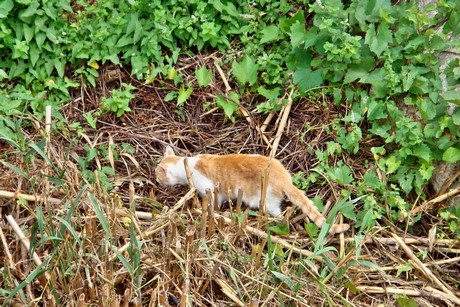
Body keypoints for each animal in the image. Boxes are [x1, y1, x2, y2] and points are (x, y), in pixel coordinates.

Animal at [156, 146, 350, 233]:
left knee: (280, 217)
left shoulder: (211, 191)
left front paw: (215, 213)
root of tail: (284, 178)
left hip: (265, 201)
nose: (156, 181)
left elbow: (213, 206)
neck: (186, 166)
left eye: (158, 175)